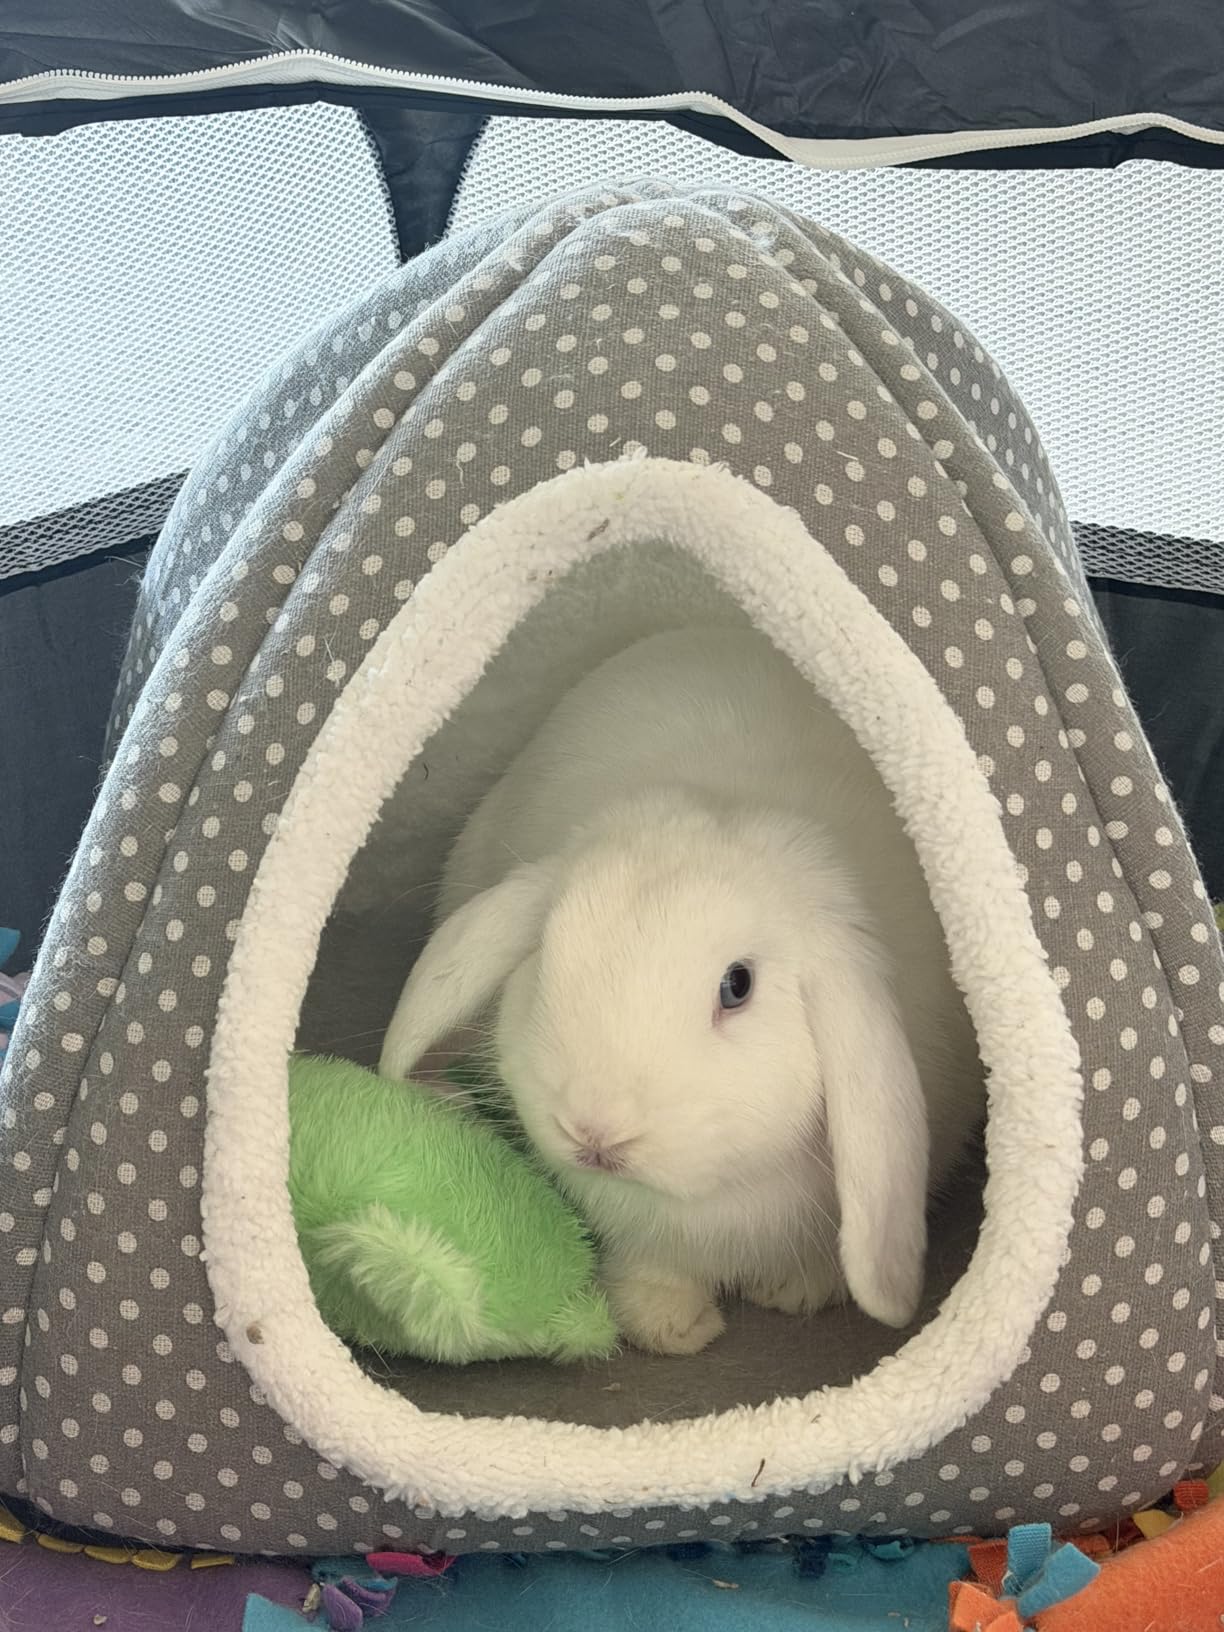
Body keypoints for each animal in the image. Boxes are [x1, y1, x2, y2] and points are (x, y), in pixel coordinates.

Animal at [379, 625, 984, 1355]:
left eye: (737, 986)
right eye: (546, 951)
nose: (595, 1133)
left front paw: (796, 1292)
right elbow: (652, 1269)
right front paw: (673, 1328)